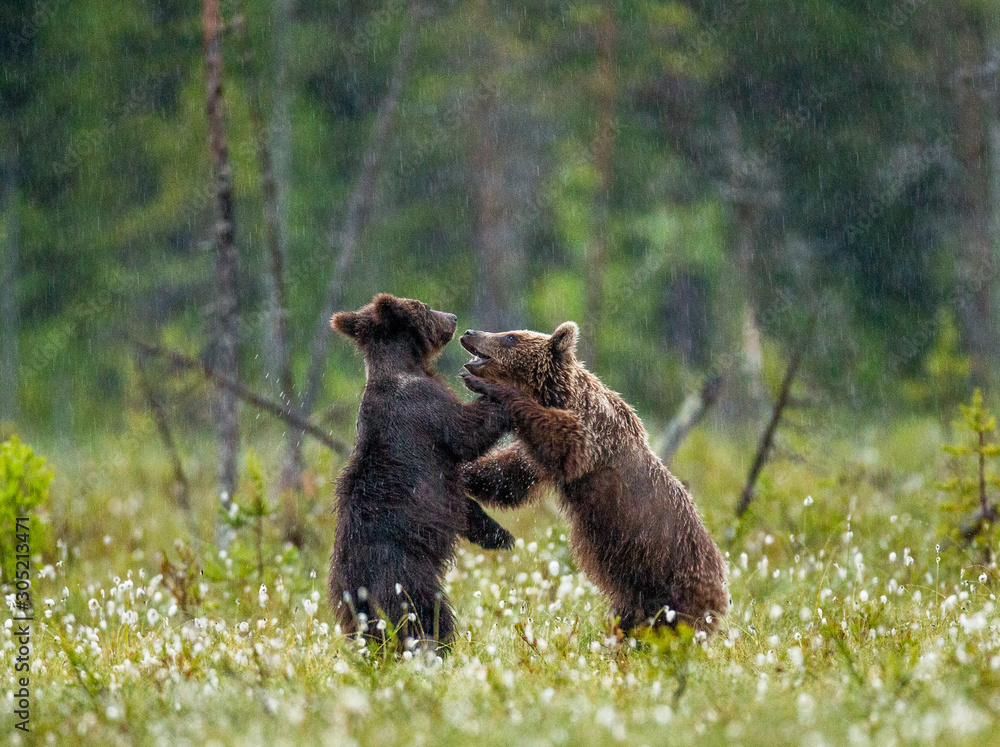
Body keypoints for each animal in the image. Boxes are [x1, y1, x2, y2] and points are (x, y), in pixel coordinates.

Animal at [328, 294, 514, 646]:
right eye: (425, 307)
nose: (453, 317)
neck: (405, 367)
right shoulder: (425, 408)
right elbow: (467, 433)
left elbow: (464, 506)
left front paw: (499, 534)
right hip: (405, 573)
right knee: (425, 610)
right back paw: (437, 644)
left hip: (349, 597)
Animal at [459, 321, 729, 634]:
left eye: (510, 337)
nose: (469, 332)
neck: (560, 396)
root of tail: (723, 587)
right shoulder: (539, 463)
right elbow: (510, 475)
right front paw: (464, 472)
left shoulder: (594, 435)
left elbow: (561, 439)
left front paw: (487, 386)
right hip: (635, 596)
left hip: (676, 586)